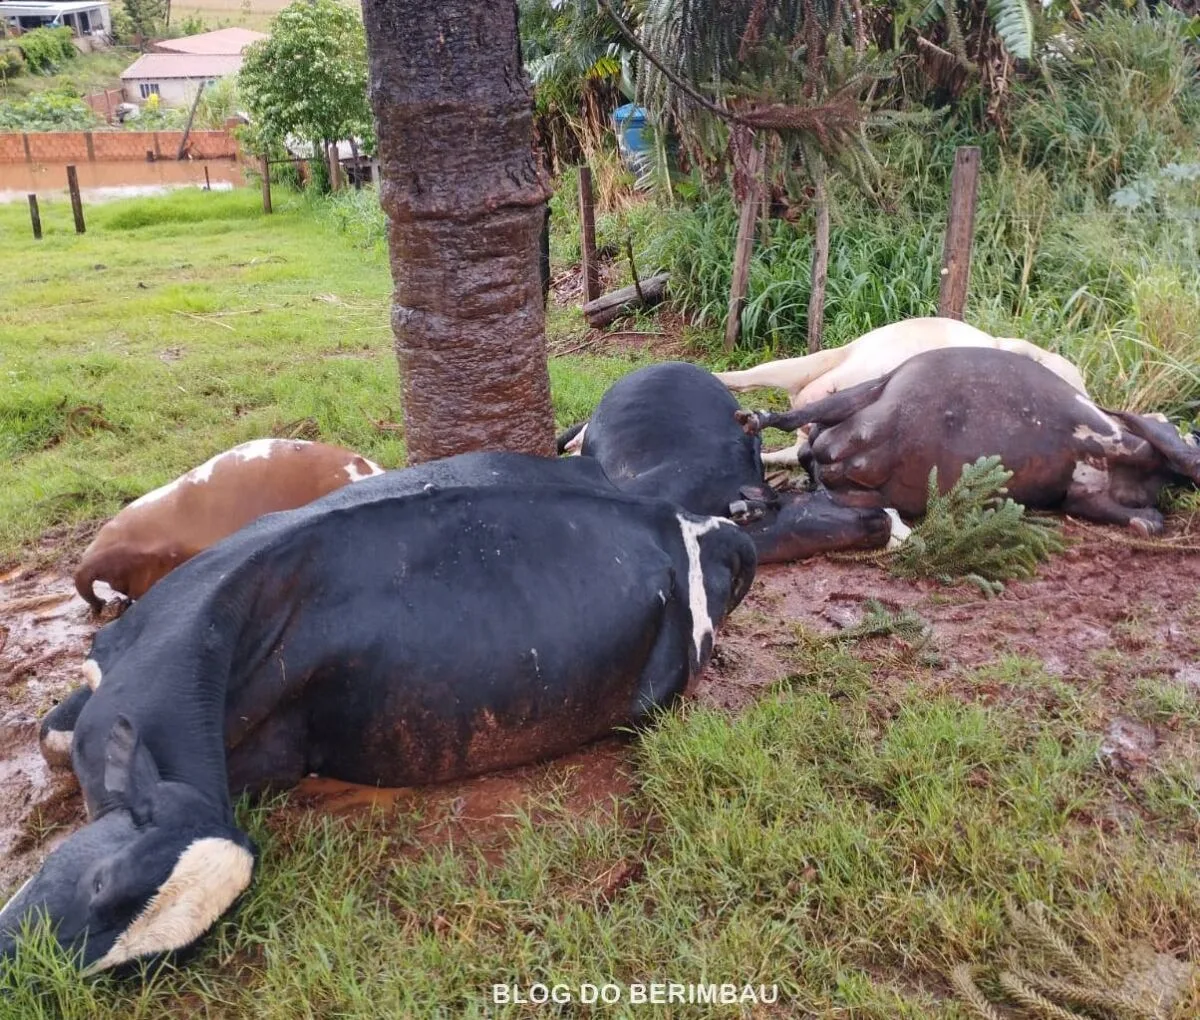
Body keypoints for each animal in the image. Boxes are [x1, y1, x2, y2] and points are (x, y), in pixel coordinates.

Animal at [736, 347, 1200, 535]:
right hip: (882, 385)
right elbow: (1170, 451)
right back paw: (756, 422)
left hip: (863, 443)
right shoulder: (1119, 431)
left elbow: (1144, 518)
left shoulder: (1085, 494)